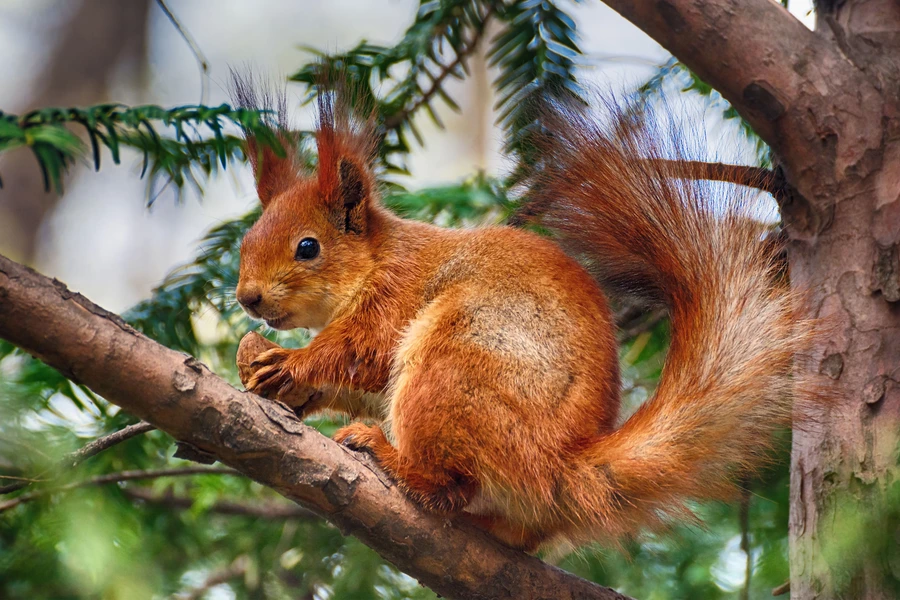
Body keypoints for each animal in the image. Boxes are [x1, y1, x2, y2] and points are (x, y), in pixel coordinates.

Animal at [231, 76, 821, 552]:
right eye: (246, 240)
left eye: (308, 247)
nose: (246, 298)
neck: (378, 261)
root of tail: (562, 467)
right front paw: (270, 373)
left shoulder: (395, 298)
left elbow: (362, 353)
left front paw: (290, 361)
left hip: (452, 369)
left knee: (449, 486)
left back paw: (389, 456)